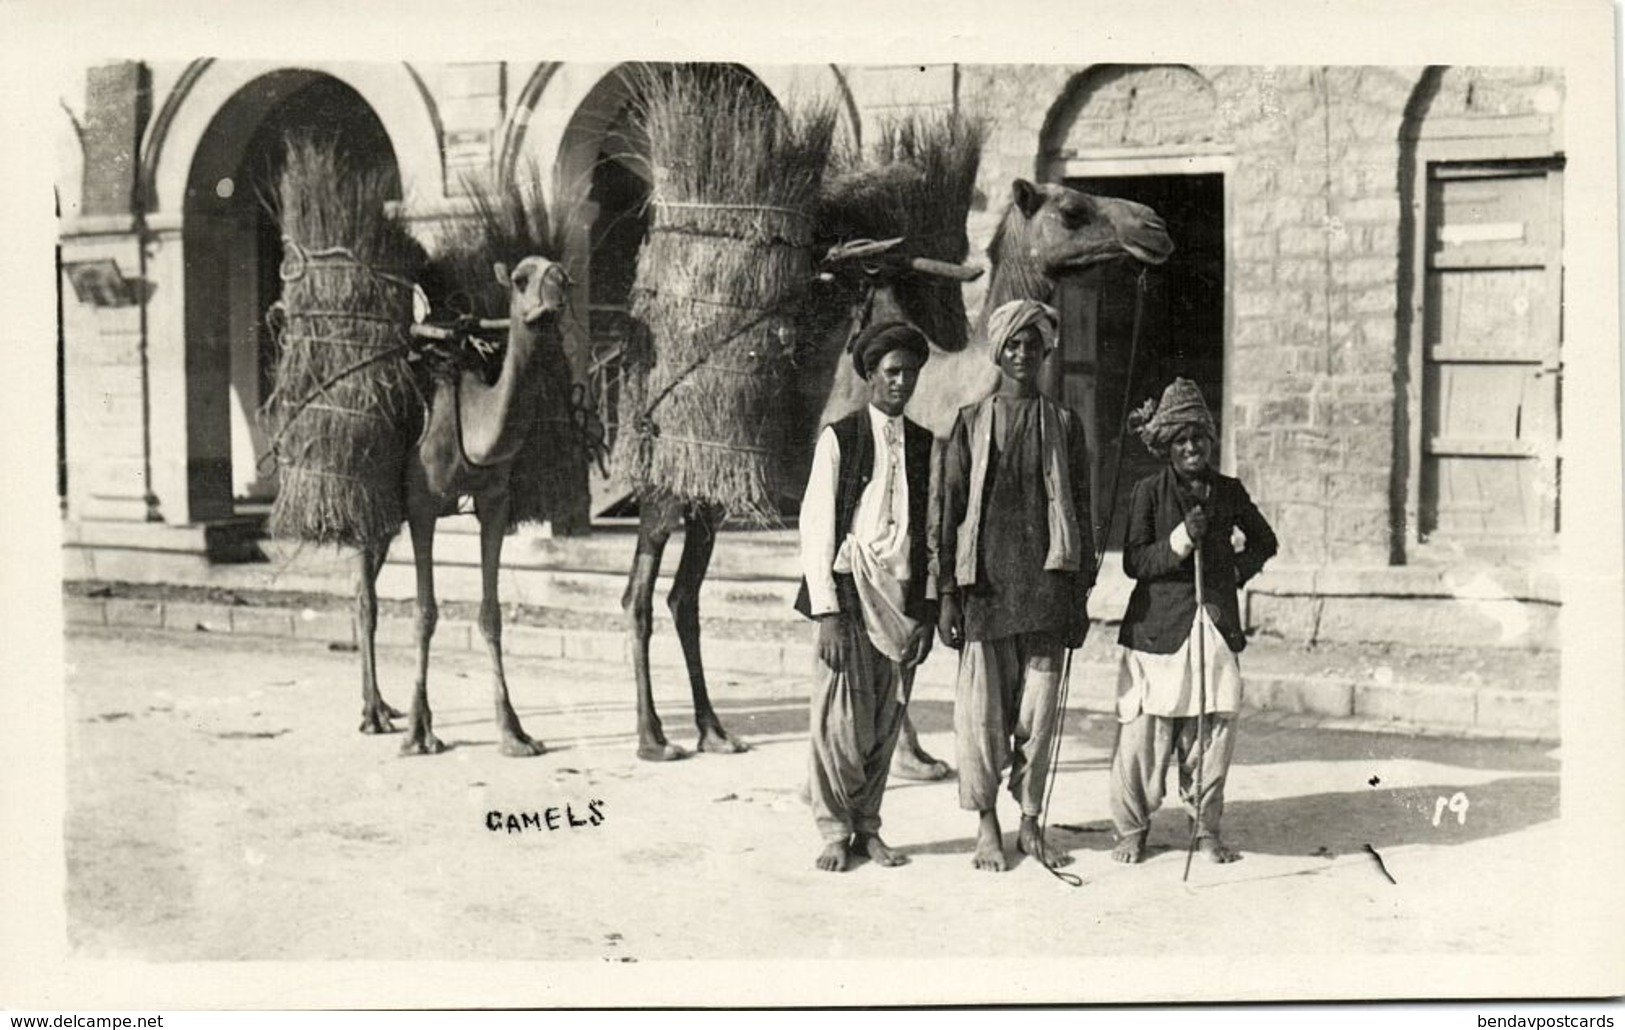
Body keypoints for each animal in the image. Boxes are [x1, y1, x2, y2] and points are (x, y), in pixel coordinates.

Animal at [355, 250, 572, 753]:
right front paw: (420, 732)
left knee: (362, 589)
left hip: (385, 520)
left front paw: (514, 732)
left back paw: (379, 707)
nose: (553, 296)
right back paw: (375, 715)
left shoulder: (495, 502)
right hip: (363, 498)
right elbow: (425, 614)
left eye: (565, 277)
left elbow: (491, 615)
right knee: (366, 597)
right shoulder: (422, 505)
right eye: (521, 279)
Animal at [620, 176, 1170, 757]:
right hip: (666, 476)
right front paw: (906, 755)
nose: (1154, 227)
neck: (943, 392)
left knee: (684, 596)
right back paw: (653, 737)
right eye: (1071, 210)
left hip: (710, 496)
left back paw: (715, 732)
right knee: (639, 595)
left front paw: (914, 755)